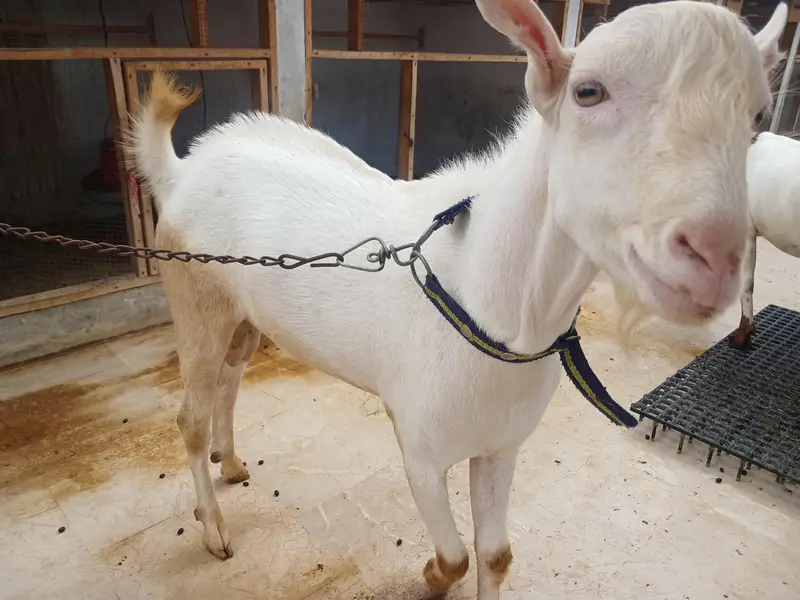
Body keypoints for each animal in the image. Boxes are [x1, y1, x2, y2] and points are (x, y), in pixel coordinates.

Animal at [128, 1, 786, 598]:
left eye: (757, 117)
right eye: (588, 92)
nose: (714, 257)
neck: (487, 302)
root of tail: (183, 171)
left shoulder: (501, 444)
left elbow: (495, 556)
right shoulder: (419, 445)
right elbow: (456, 557)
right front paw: (428, 575)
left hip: (242, 312)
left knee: (231, 375)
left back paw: (232, 460)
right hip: (195, 296)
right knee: (190, 413)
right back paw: (213, 528)